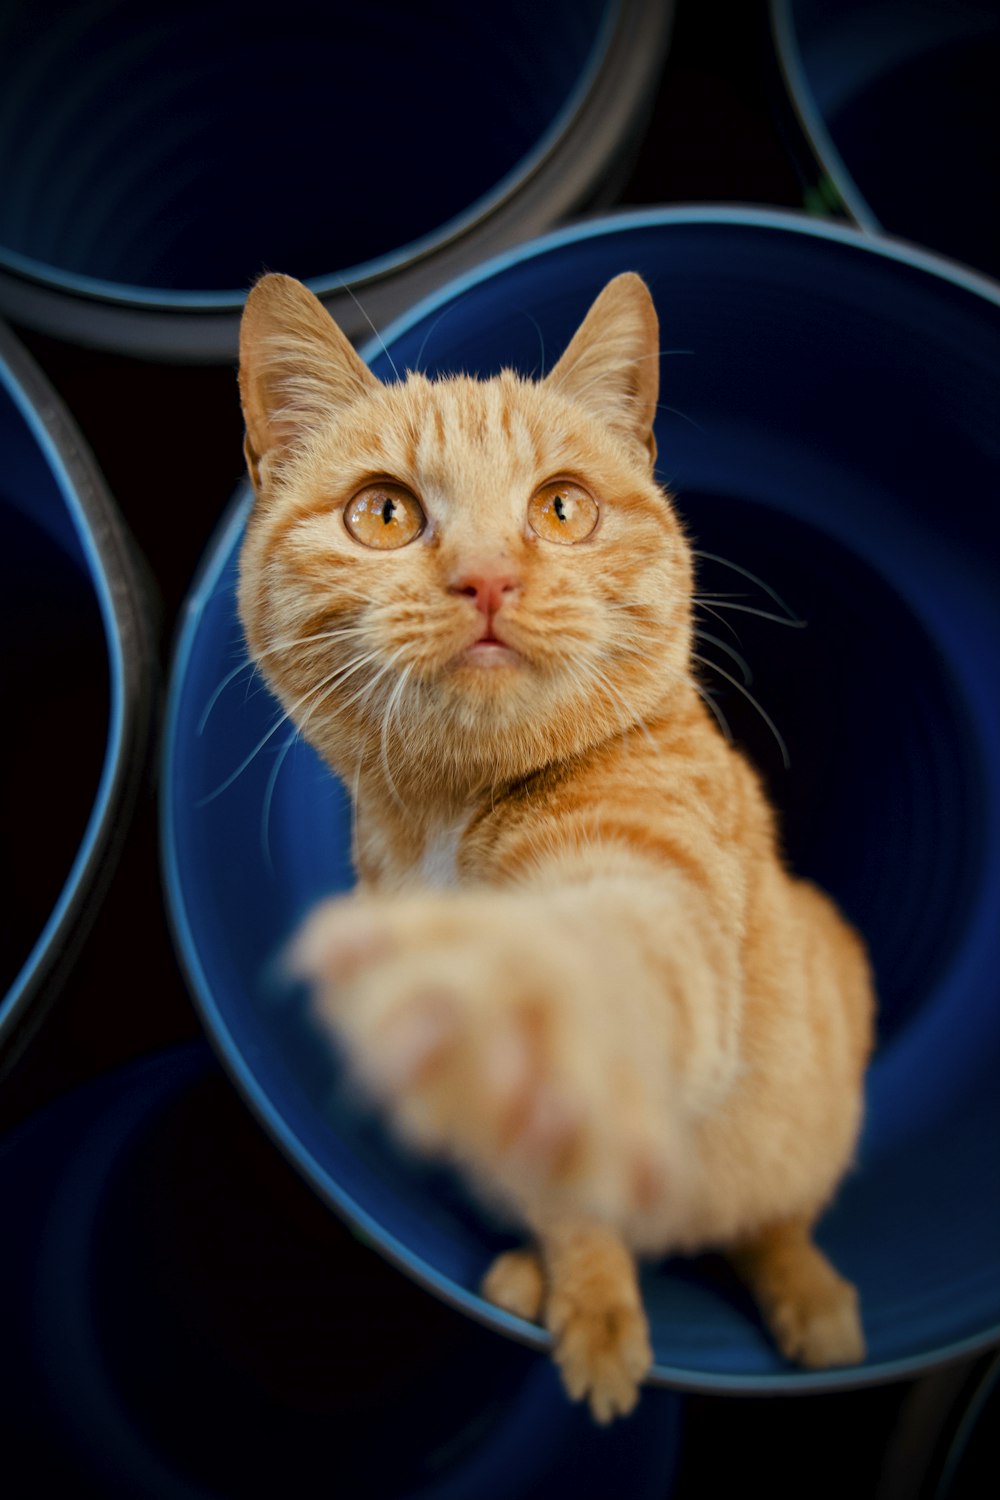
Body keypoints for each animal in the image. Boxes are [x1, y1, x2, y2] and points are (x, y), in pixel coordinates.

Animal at [236, 267, 875, 1416]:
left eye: (563, 507)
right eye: (385, 511)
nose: (488, 576)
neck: (447, 815)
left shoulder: (661, 895)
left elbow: (601, 973)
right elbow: (570, 1205)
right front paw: (588, 1301)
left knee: (775, 1220)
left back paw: (812, 1302)